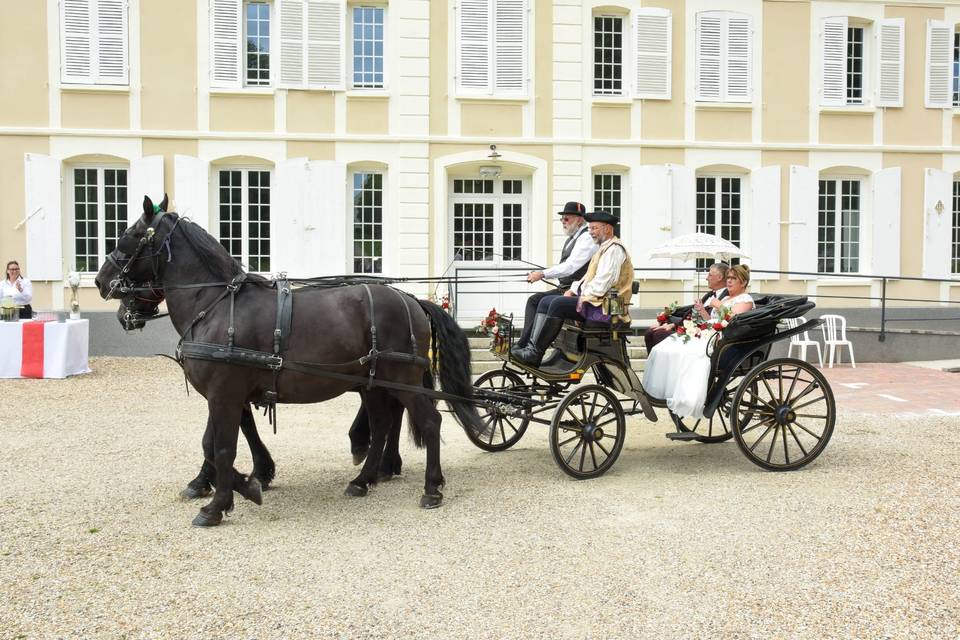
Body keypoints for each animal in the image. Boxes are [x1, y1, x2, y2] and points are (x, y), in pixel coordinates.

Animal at [96, 198, 488, 528]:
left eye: (130, 235)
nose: (101, 281)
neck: (215, 304)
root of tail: (412, 300)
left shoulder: (224, 392)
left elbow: (222, 447)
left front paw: (219, 502)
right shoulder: (225, 394)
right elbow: (215, 443)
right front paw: (244, 482)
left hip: (399, 378)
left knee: (430, 421)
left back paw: (431, 487)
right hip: (375, 382)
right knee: (382, 424)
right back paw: (363, 480)